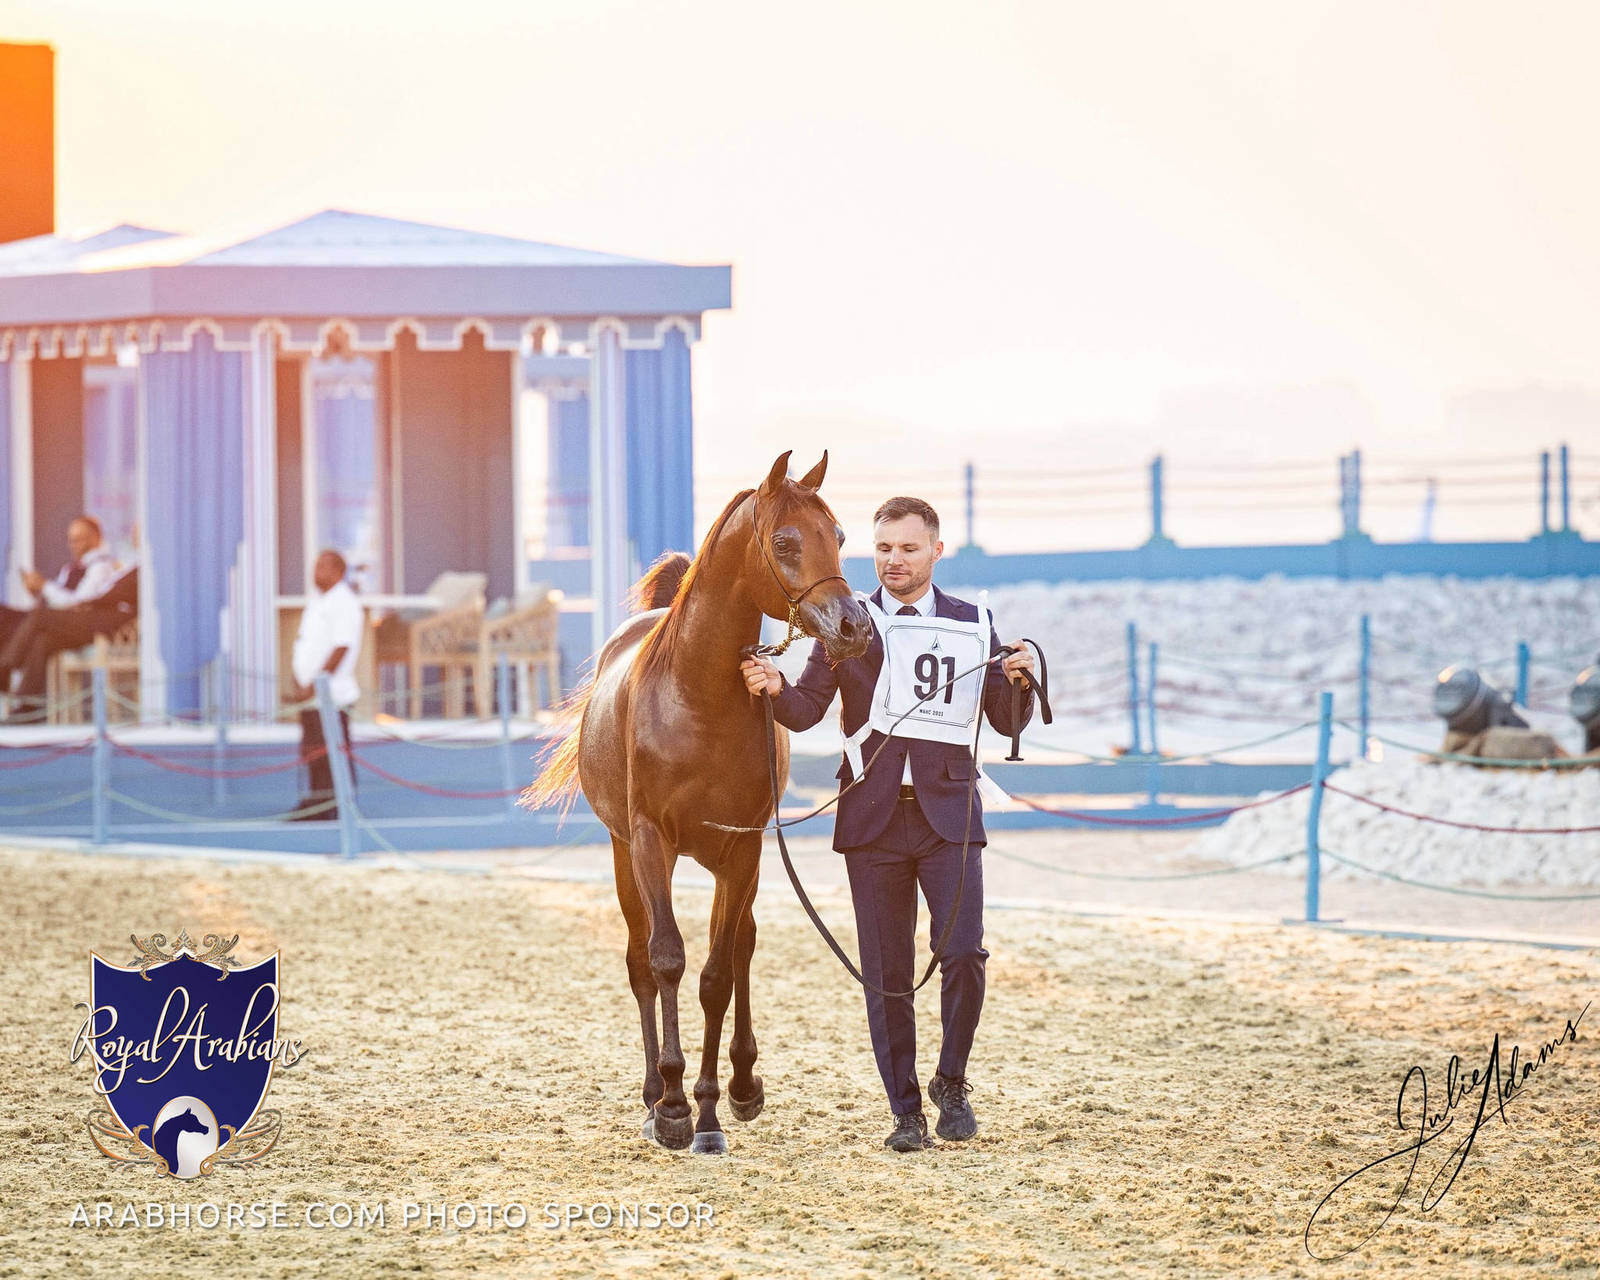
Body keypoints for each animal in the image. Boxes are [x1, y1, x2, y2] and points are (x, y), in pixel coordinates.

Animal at [524, 451, 869, 1153]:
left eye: (840, 535)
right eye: (785, 542)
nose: (852, 627)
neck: (698, 697)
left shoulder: (742, 849)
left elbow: (715, 974)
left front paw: (708, 1112)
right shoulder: (650, 841)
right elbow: (666, 960)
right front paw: (674, 1107)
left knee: (740, 948)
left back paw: (741, 1085)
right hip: (625, 854)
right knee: (640, 960)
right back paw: (652, 1092)